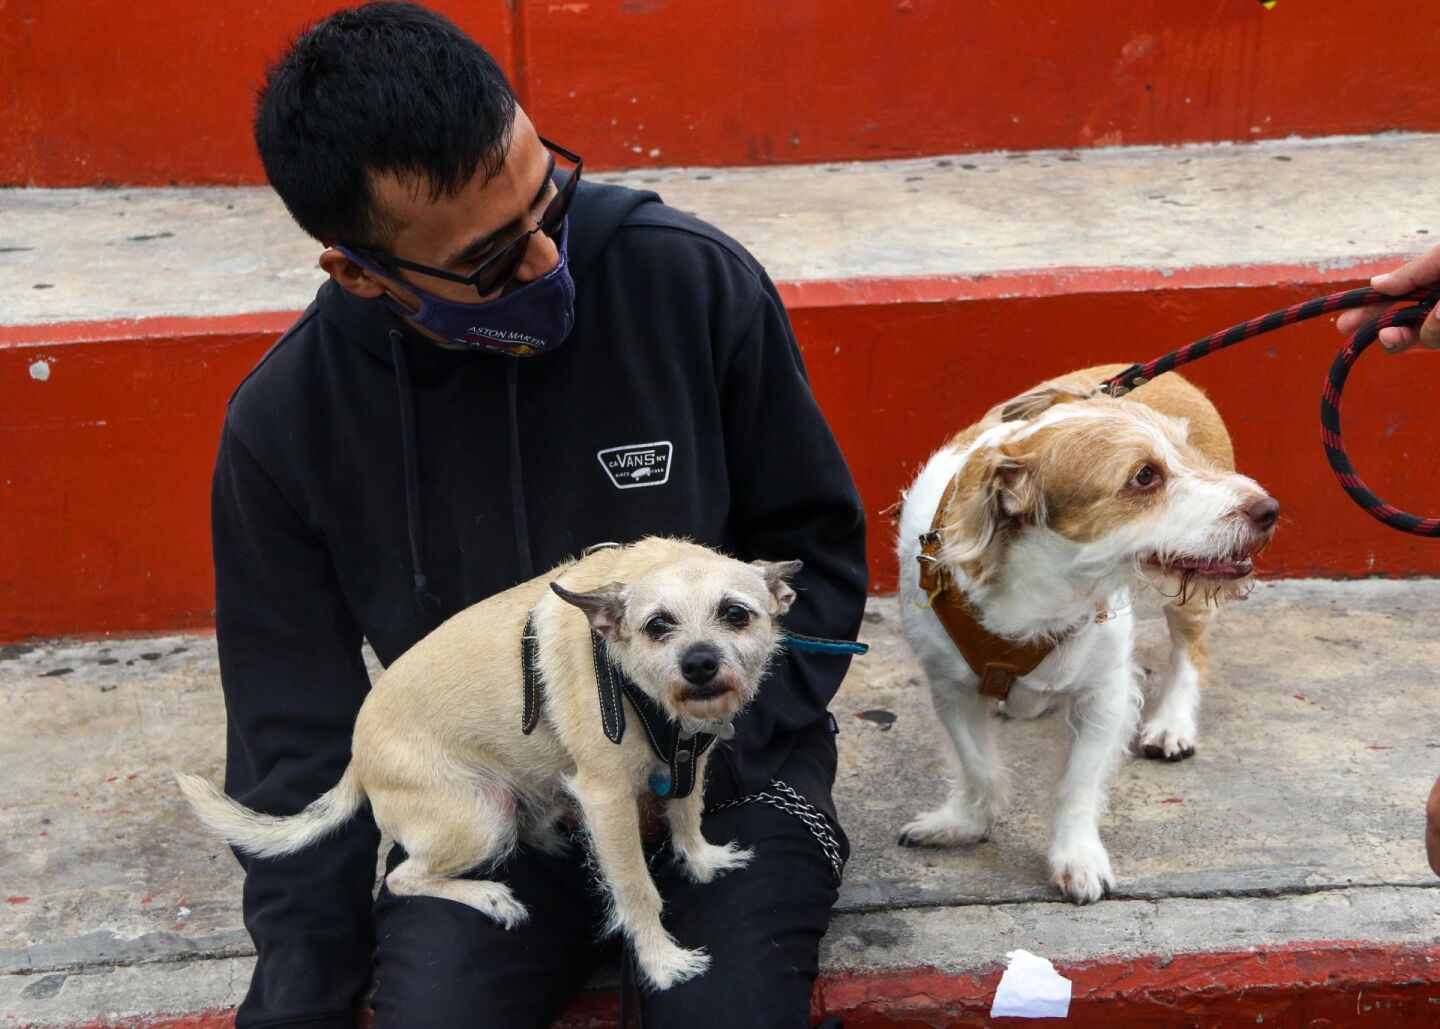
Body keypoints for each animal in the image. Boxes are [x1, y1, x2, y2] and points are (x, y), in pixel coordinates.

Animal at [178, 538, 800, 990]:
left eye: (736, 614)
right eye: (657, 626)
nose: (699, 663)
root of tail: (356, 756)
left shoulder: (688, 757)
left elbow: (686, 813)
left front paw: (701, 859)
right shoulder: (608, 799)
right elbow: (636, 888)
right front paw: (661, 962)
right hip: (482, 815)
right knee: (403, 877)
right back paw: (488, 895)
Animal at [892, 366, 1278, 903]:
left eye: (1186, 453)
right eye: (1144, 476)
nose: (1269, 509)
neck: (1043, 591)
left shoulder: (1105, 692)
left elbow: (1078, 784)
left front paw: (1076, 857)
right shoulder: (950, 688)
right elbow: (977, 764)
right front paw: (966, 821)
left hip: (1192, 602)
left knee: (1192, 654)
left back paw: (1172, 722)